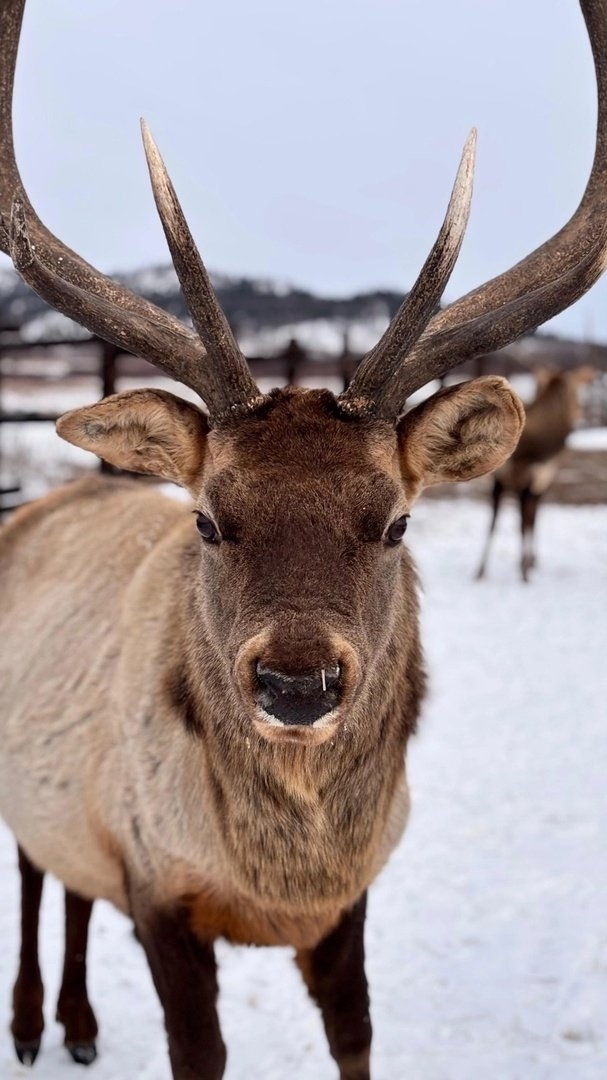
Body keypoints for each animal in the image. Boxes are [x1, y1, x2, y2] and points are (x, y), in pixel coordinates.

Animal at [473, 362, 596, 583]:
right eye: (577, 391)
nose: (579, 415)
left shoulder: (533, 480)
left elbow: (525, 522)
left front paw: (524, 570)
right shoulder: (502, 480)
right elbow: (495, 523)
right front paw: (481, 570)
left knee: (533, 516)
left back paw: (531, 561)